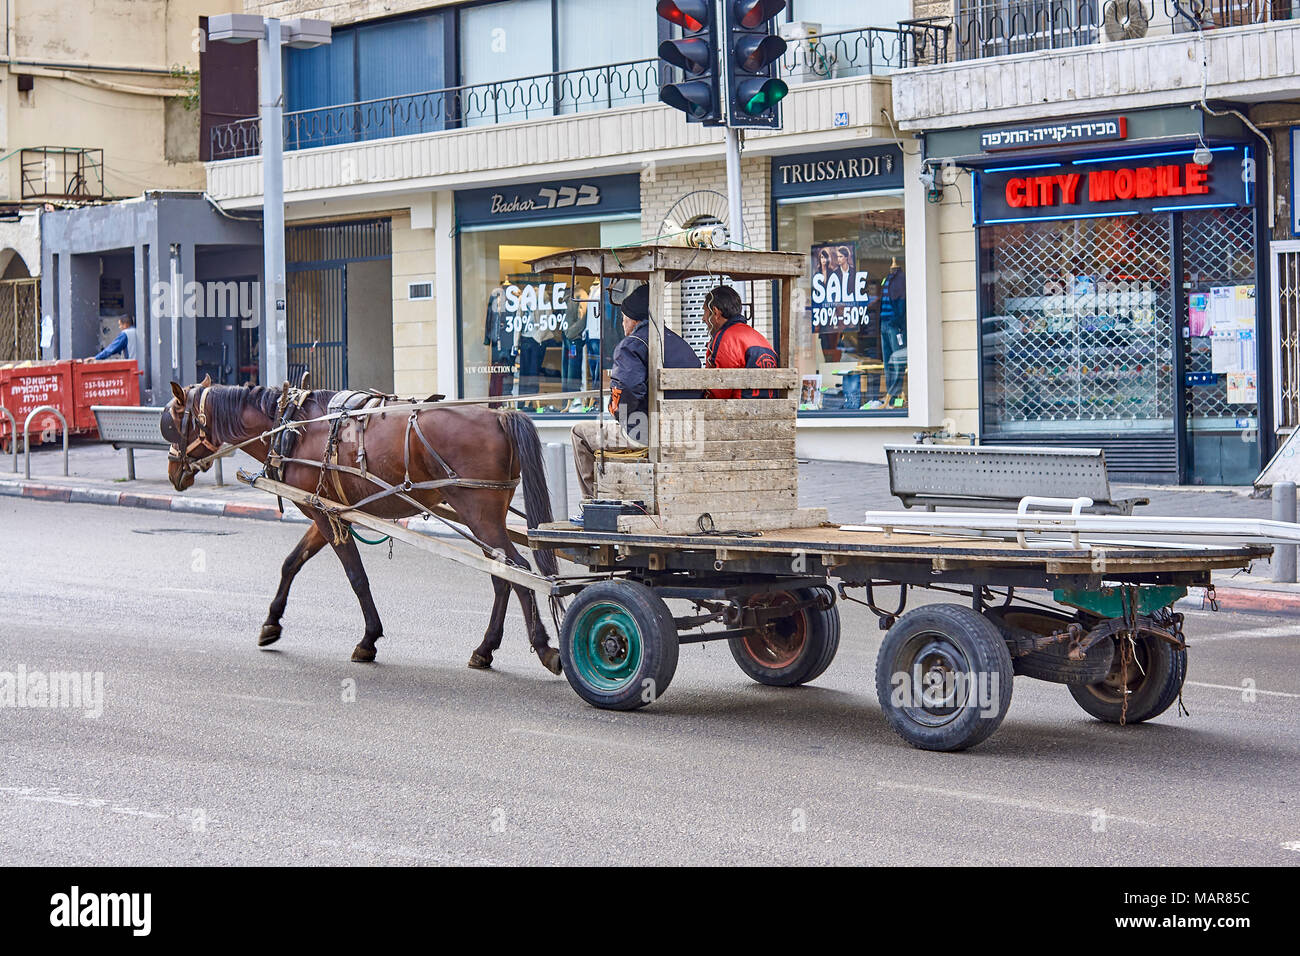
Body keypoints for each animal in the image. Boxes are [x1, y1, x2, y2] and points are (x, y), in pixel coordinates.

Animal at [158, 374, 564, 671]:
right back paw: (485, 649)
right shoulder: (325, 508)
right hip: (484, 517)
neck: (291, 427)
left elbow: (356, 576)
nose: (173, 472)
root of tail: (499, 415)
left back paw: (544, 647)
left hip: (479, 514)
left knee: (519, 570)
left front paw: (368, 639)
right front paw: (271, 624)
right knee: (503, 575)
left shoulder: (322, 512)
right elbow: (291, 563)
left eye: (174, 424)